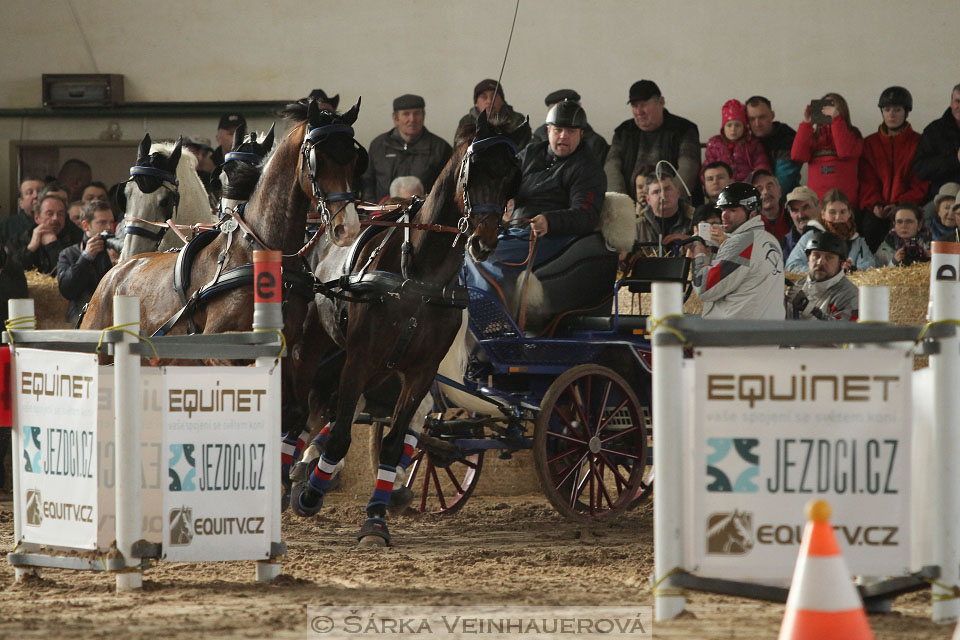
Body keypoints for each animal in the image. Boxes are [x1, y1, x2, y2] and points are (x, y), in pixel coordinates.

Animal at [290, 111, 524, 544]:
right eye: (474, 171)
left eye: (511, 177)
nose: (483, 241)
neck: (419, 274)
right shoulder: (360, 358)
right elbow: (342, 435)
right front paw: (311, 494)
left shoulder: (419, 371)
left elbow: (394, 442)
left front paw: (375, 520)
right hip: (316, 347)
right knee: (304, 410)